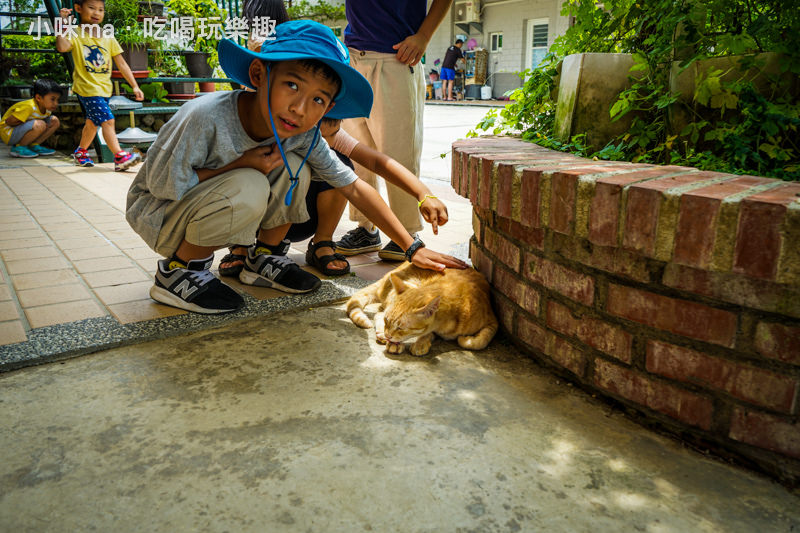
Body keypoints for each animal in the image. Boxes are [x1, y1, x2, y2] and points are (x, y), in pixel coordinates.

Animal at [346, 260, 496, 356]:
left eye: (400, 328)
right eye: (387, 321)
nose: (388, 335)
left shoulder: (493, 322)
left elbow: (479, 342)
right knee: (379, 312)